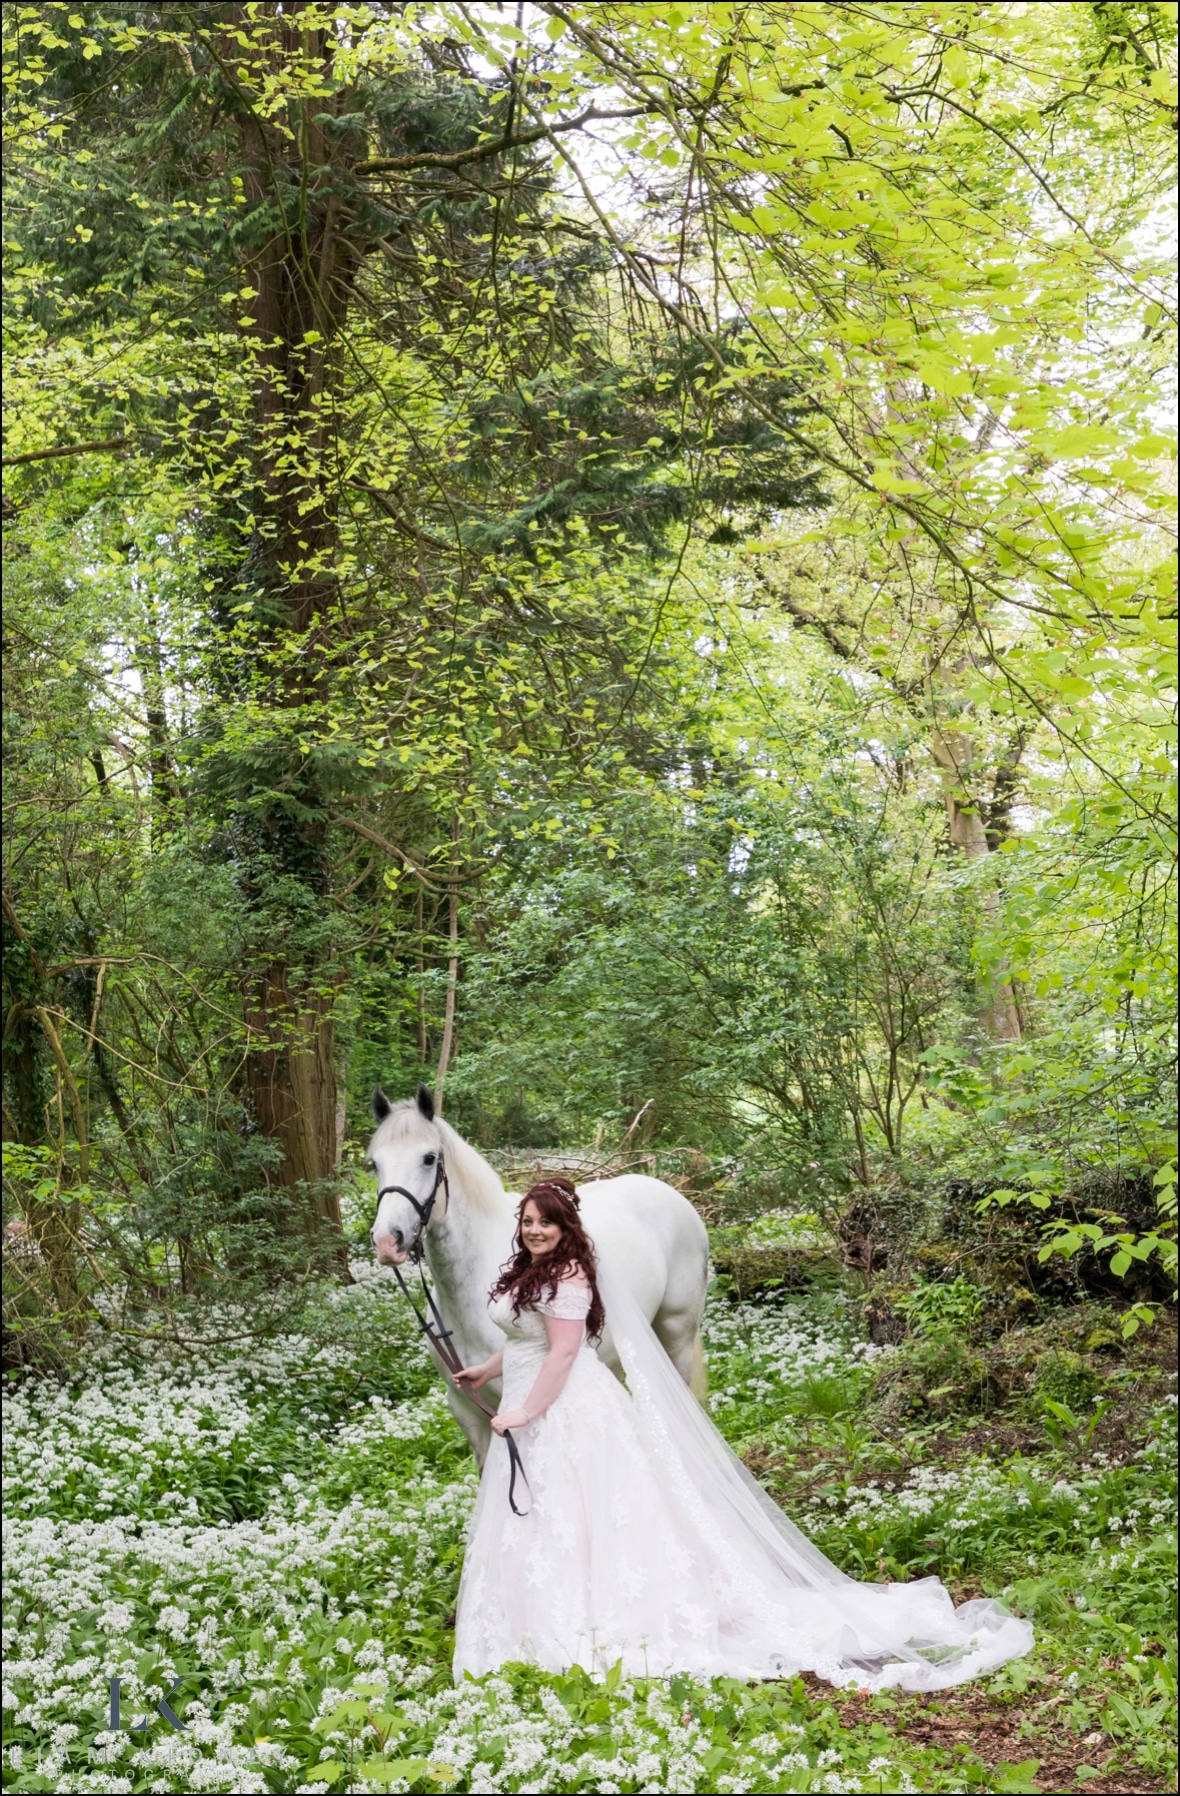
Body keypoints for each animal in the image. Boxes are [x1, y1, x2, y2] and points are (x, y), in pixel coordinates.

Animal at [366, 1091, 707, 1458]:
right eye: (375, 1164)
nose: (387, 1240)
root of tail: (672, 1195)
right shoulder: (466, 1409)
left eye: (429, 1158)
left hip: (676, 1337)